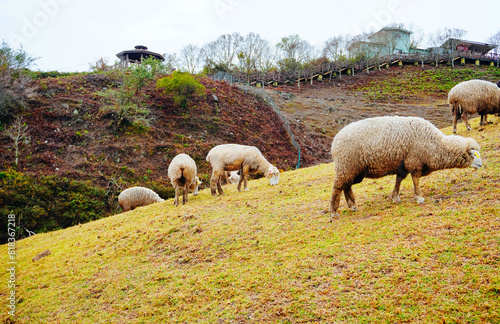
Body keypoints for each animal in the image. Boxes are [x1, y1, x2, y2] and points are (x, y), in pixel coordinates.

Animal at [330, 116, 482, 218]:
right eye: (472, 155)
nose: (481, 165)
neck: (435, 144)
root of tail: (335, 141)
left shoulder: (403, 164)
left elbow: (399, 180)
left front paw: (395, 197)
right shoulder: (414, 161)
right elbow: (415, 180)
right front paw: (419, 198)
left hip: (352, 169)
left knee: (346, 185)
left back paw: (352, 206)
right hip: (347, 165)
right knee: (338, 186)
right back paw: (334, 211)